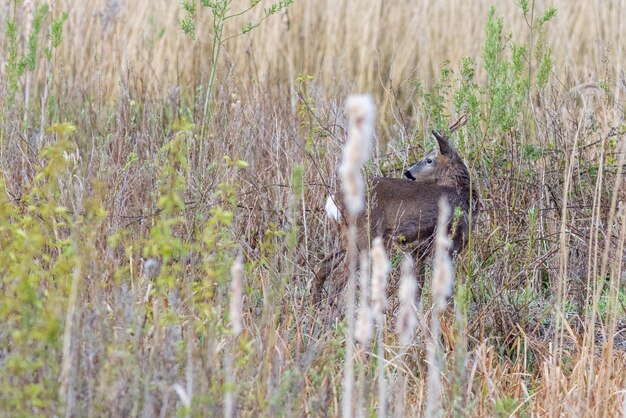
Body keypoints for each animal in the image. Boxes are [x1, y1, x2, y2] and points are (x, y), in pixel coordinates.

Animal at [312, 125, 478, 306]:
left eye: (429, 160)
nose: (408, 173)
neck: (461, 193)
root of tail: (333, 201)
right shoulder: (447, 244)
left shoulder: (418, 251)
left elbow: (418, 288)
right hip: (362, 236)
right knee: (337, 276)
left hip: (345, 238)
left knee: (321, 267)